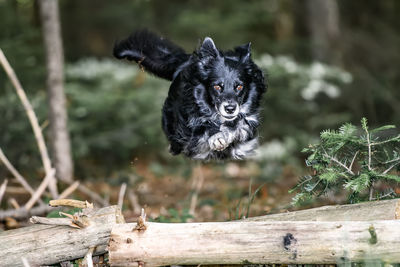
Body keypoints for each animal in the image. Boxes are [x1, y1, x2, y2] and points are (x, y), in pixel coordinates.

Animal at [114, 30, 268, 161]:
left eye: (240, 87)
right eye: (217, 86)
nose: (230, 109)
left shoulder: (248, 119)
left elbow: (239, 125)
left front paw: (225, 135)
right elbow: (203, 129)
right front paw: (216, 137)